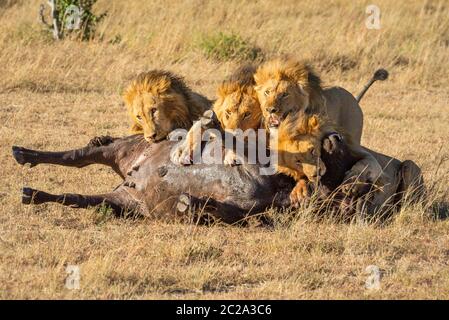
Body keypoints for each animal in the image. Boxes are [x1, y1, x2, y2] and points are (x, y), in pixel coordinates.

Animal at [272, 114, 424, 214]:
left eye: (313, 151)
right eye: (298, 161)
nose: (335, 136)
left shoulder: (367, 157)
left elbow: (362, 165)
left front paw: (351, 184)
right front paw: (300, 191)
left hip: (409, 165)